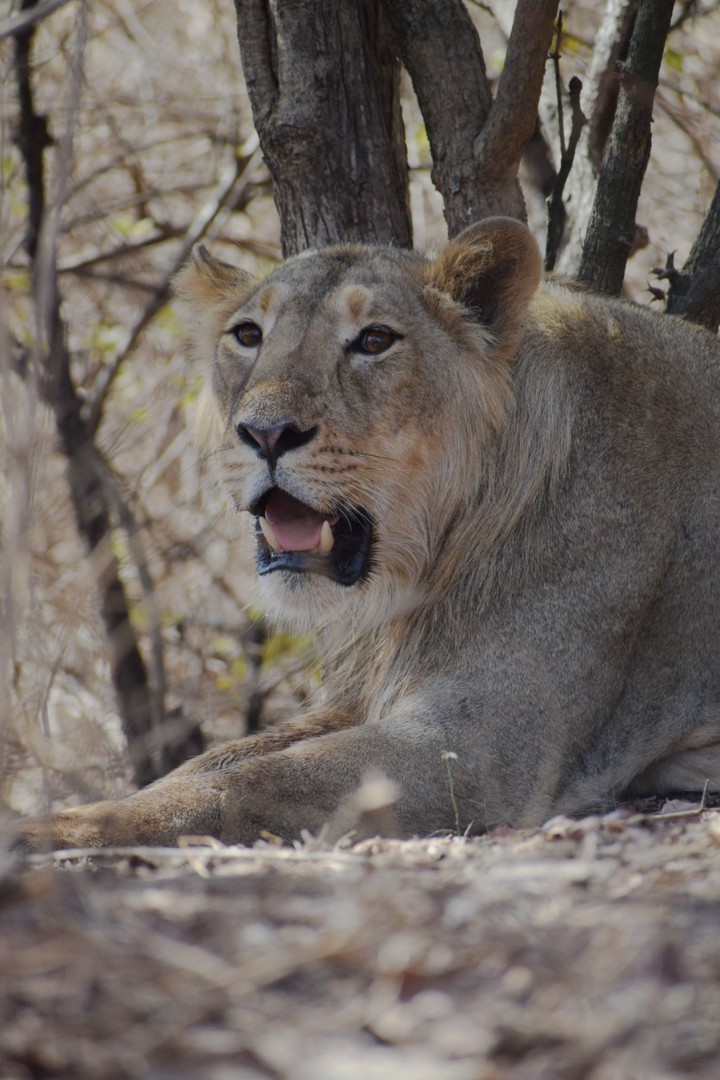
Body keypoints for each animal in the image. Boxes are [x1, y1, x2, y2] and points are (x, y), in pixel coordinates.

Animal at [19, 217, 720, 850]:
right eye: (247, 335)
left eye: (375, 340)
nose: (265, 433)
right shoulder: (364, 695)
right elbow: (214, 760)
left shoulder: (485, 747)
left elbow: (255, 780)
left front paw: (59, 827)